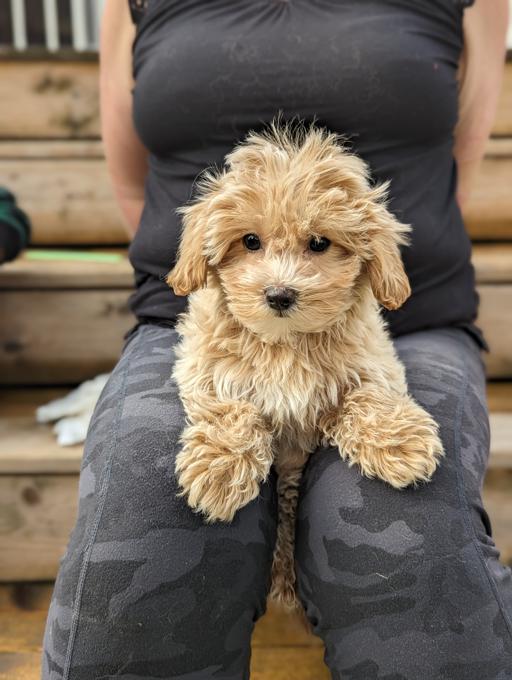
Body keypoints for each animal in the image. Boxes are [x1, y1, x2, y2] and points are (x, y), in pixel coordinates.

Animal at [165, 118, 444, 612]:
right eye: (250, 241)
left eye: (319, 243)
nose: (279, 294)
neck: (286, 344)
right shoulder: (202, 364)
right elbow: (229, 405)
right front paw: (218, 471)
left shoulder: (373, 360)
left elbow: (368, 393)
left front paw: (399, 443)